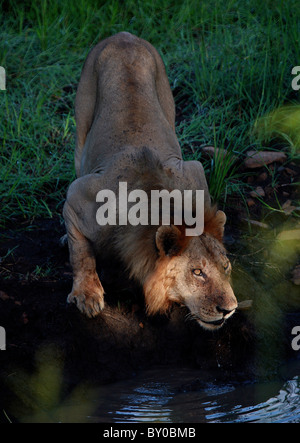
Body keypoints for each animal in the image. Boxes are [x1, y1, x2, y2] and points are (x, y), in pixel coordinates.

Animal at [62, 32, 237, 330]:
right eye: (197, 272)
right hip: (81, 125)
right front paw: (87, 294)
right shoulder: (78, 197)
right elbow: (81, 253)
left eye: (224, 267)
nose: (230, 309)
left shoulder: (194, 172)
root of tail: (123, 35)